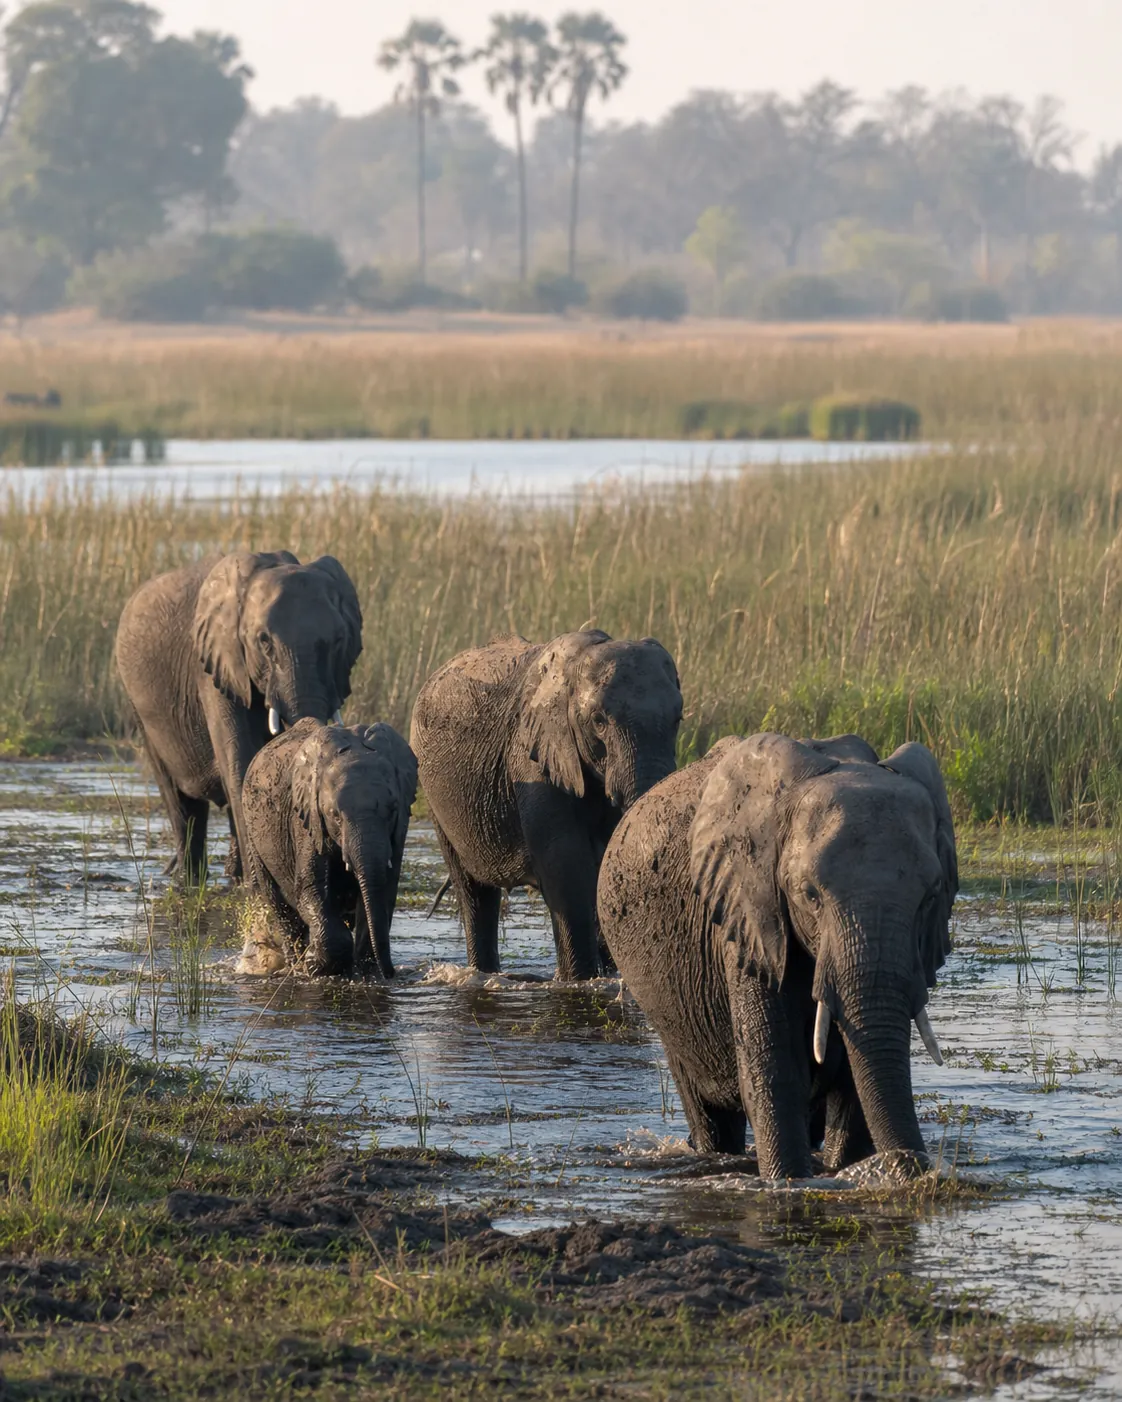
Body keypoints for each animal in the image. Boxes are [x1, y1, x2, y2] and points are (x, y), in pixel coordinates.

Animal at [115, 550, 362, 884]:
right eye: (264, 641)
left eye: (338, 641)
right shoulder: (215, 665)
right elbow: (241, 762)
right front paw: (256, 888)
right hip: (140, 708)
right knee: (180, 800)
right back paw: (190, 878)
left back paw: (231, 877)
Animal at [241, 718, 417, 978]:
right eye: (334, 815)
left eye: (393, 809)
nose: (392, 973)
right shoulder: (305, 819)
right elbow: (310, 888)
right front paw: (316, 965)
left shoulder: (399, 831)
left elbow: (383, 890)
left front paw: (366, 973)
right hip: (255, 839)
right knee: (280, 905)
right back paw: (296, 965)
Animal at [410, 629, 683, 981]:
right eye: (598, 721)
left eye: (678, 719)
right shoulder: (532, 760)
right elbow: (565, 866)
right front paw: (580, 981)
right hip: (434, 796)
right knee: (473, 891)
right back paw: (482, 973)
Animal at [597, 732, 957, 1180]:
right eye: (809, 895)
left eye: (931, 895)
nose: (914, 1164)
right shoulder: (747, 918)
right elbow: (776, 1075)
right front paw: (788, 1182)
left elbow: (853, 1091)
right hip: (668, 1010)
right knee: (708, 1113)